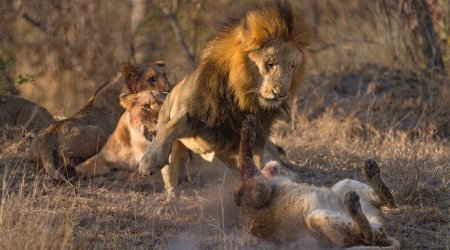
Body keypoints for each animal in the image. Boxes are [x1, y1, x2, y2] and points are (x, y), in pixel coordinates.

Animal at [237, 114, 400, 248]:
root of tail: (383, 235)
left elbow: (247, 161)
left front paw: (249, 124)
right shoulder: (258, 191)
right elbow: (244, 158)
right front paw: (248, 127)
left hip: (343, 185)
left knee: (388, 203)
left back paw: (371, 173)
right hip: (317, 218)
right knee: (367, 235)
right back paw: (354, 204)